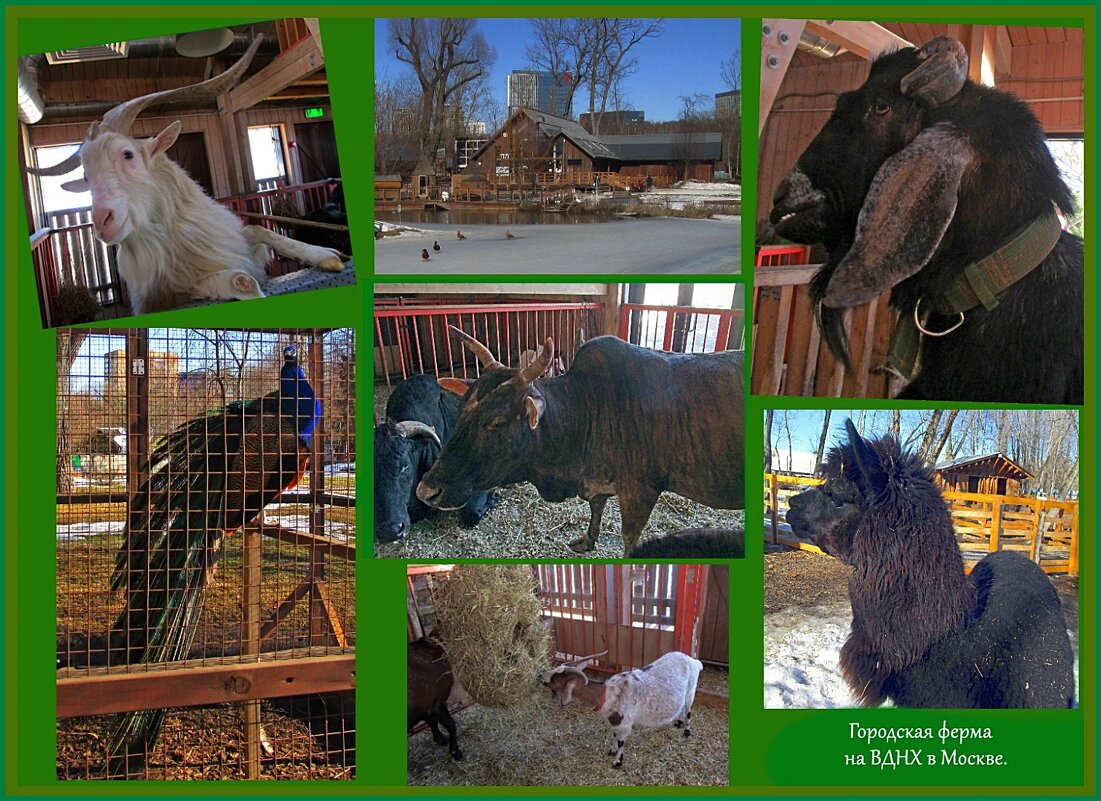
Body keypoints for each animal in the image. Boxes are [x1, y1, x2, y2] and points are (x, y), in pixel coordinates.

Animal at [26, 35, 343, 316]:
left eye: (127, 154)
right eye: (86, 177)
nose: (104, 222)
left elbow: (257, 230)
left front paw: (327, 255)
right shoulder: (162, 294)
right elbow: (238, 279)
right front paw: (244, 286)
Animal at [416, 327, 744, 554]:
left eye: (497, 421)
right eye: (461, 410)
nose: (426, 490)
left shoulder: (641, 491)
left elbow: (629, 539)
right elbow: (595, 509)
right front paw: (588, 540)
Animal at [543, 646, 704, 765]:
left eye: (558, 679)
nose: (542, 679)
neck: (607, 694)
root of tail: (694, 661)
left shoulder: (625, 723)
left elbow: (621, 741)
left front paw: (617, 761)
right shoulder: (613, 721)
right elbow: (614, 735)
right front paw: (612, 751)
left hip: (691, 691)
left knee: (689, 710)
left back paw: (686, 731)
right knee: (682, 707)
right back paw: (678, 722)